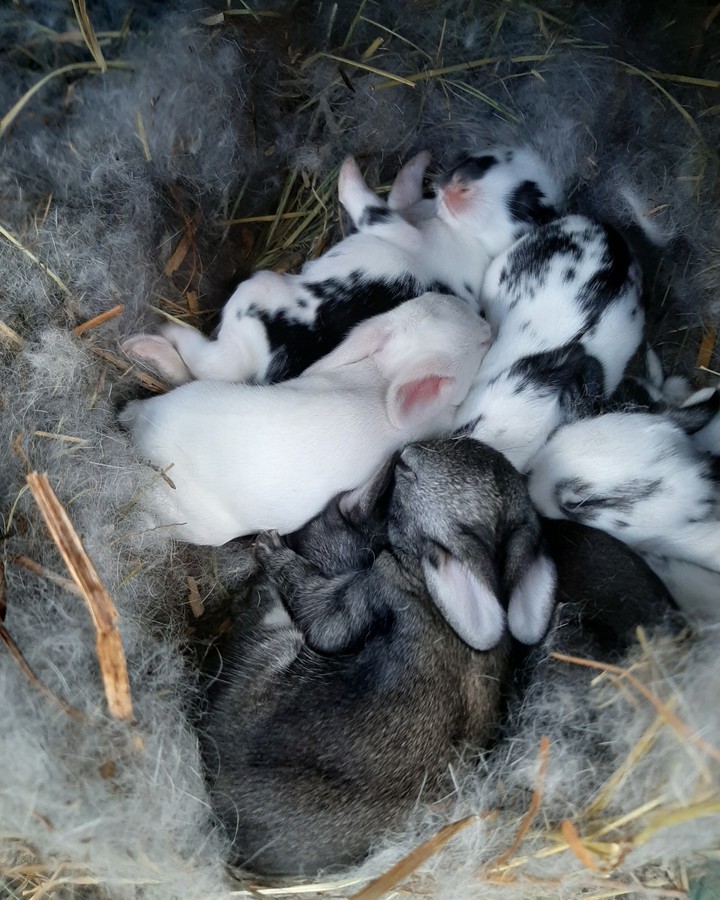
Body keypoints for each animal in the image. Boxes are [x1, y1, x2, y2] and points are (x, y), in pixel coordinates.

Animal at [119, 292, 492, 546]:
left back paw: (143, 348)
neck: (384, 374)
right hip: (197, 523)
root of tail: (147, 426)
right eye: (482, 343)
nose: (489, 324)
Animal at [122, 146, 562, 386]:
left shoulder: (395, 227)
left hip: (250, 303)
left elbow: (366, 203)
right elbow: (401, 190)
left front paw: (349, 167)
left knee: (201, 363)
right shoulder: (406, 209)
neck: (463, 237)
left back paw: (148, 340)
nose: (457, 181)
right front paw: (418, 162)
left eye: (524, 203)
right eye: (491, 157)